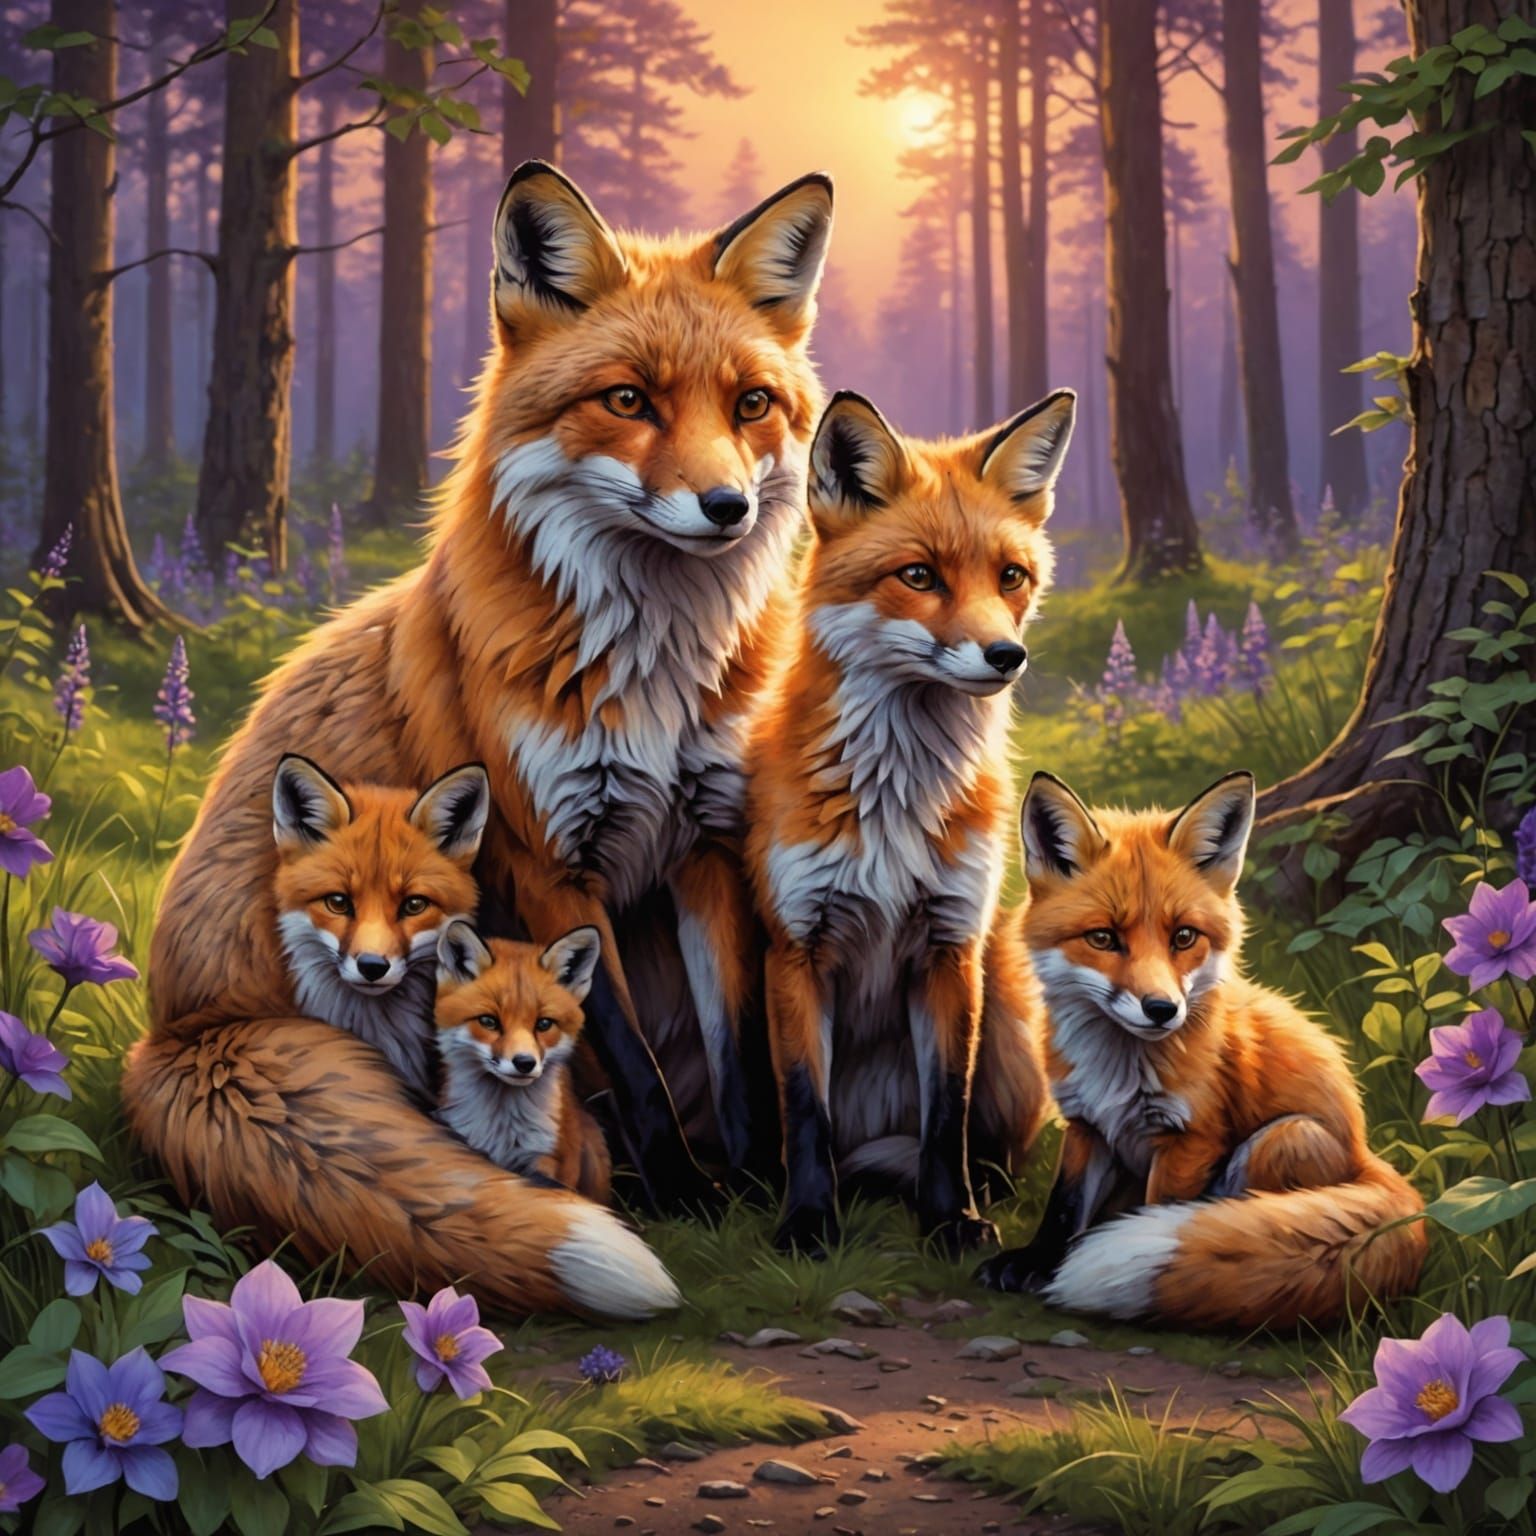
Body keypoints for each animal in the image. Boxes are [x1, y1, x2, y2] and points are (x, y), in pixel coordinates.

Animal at [743, 389, 1071, 1256]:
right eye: (918, 576)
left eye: (1011, 577)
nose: (1006, 656)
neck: (896, 799)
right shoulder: (796, 947)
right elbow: (806, 1109)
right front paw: (808, 1222)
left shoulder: (950, 945)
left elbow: (944, 1111)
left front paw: (951, 1217)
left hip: (1009, 1014)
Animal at [976, 770, 1428, 1329]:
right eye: (1103, 938)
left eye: (1184, 936)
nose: (1161, 1009)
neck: (1119, 1071)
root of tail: (1370, 1156)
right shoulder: (1087, 1126)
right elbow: (1063, 1204)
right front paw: (1038, 1262)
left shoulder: (1190, 1139)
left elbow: (1159, 1209)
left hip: (1285, 1138)